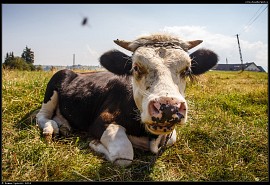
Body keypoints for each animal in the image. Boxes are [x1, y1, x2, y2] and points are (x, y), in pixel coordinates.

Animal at [35, 33, 218, 166]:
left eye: (187, 70)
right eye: (136, 67)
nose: (168, 108)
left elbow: (172, 138)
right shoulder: (101, 120)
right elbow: (124, 155)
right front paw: (94, 144)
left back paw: (64, 126)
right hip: (56, 81)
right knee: (42, 115)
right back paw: (51, 128)